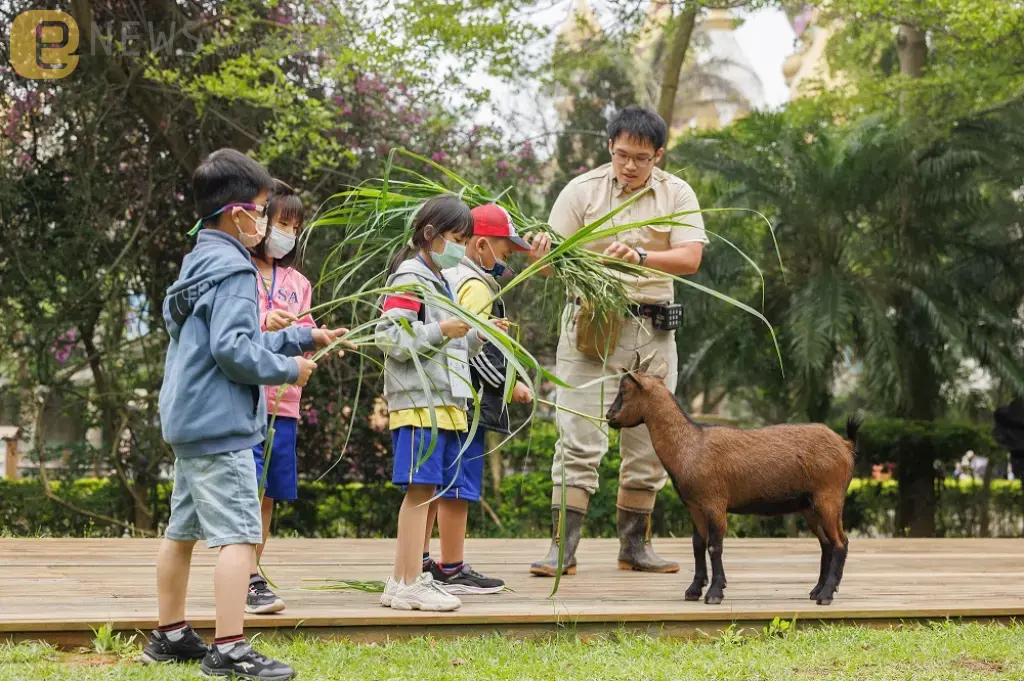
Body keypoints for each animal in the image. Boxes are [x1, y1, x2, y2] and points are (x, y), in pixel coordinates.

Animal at [602, 350, 860, 606]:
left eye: (624, 391)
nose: (609, 416)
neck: (690, 444)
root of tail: (846, 445)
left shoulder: (715, 502)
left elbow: (715, 546)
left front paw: (715, 592)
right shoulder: (695, 506)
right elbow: (698, 544)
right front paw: (694, 590)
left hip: (829, 497)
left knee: (840, 543)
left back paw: (826, 594)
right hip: (810, 505)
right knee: (826, 543)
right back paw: (817, 590)